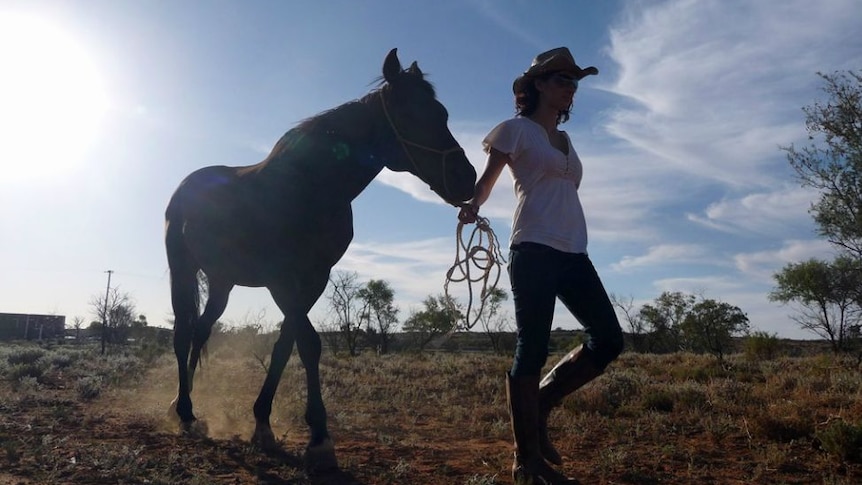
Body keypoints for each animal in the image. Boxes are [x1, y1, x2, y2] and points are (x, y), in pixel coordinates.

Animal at [164, 49, 480, 468]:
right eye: (413, 114)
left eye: (442, 113)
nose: (467, 178)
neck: (310, 187)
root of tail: (186, 185)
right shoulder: (281, 279)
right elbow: (309, 343)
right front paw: (318, 435)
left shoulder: (314, 278)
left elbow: (287, 344)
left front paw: (263, 423)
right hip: (182, 269)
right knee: (183, 335)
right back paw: (184, 412)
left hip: (222, 281)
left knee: (201, 331)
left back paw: (189, 401)